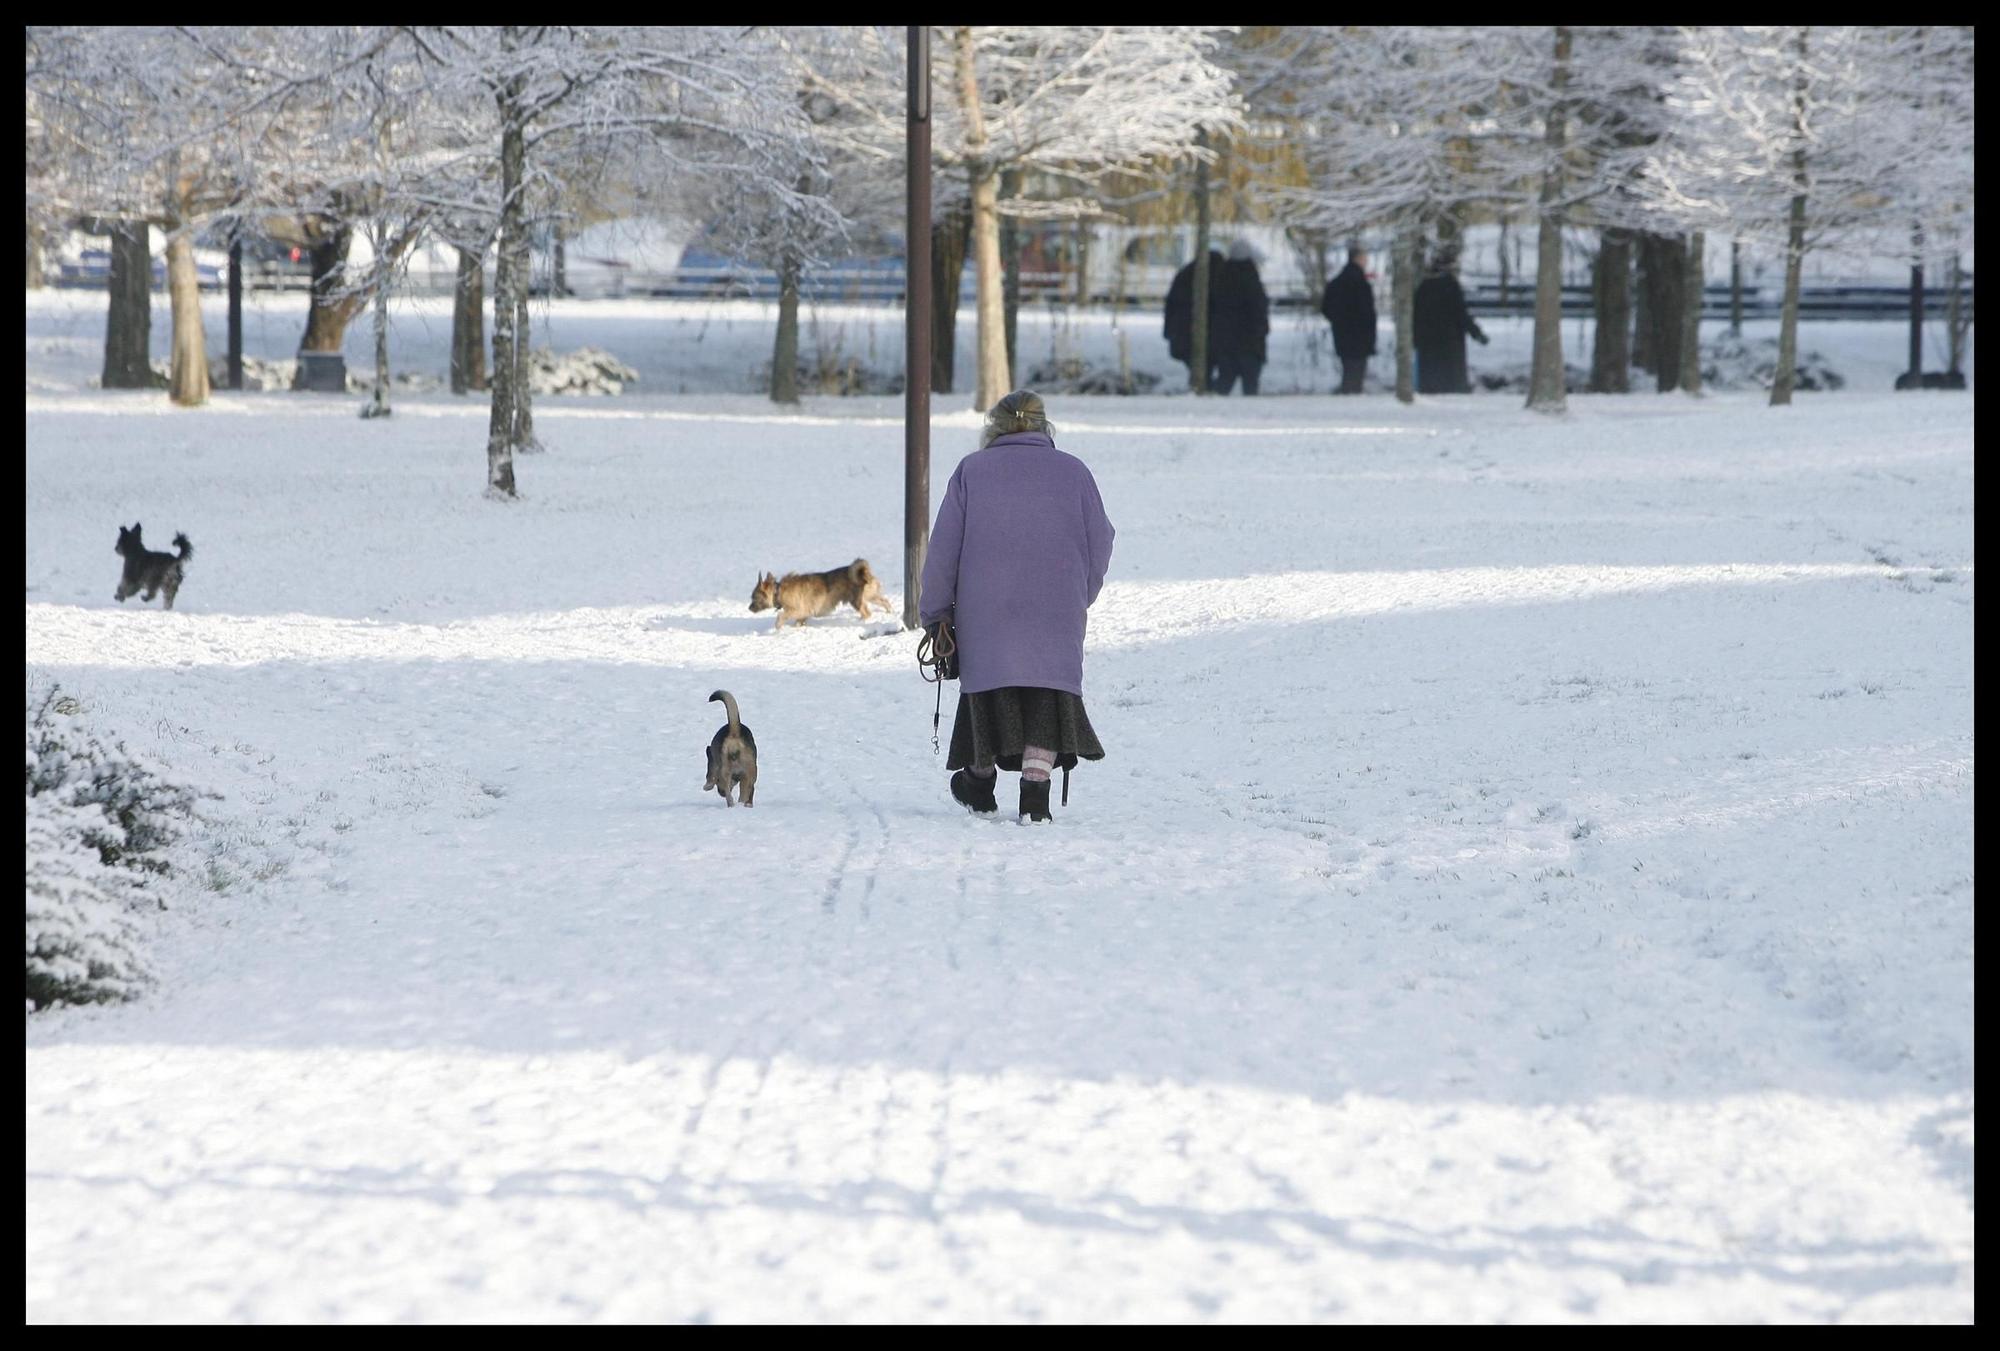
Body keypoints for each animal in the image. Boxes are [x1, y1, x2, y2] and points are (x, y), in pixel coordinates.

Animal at [748, 555, 888, 631]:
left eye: (754, 597)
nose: (749, 608)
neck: (778, 591)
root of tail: (862, 572)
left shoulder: (797, 610)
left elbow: (780, 616)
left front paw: (778, 627)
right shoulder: (802, 615)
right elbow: (798, 622)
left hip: (856, 600)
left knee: (867, 613)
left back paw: (861, 621)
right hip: (871, 596)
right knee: (885, 601)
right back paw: (889, 612)